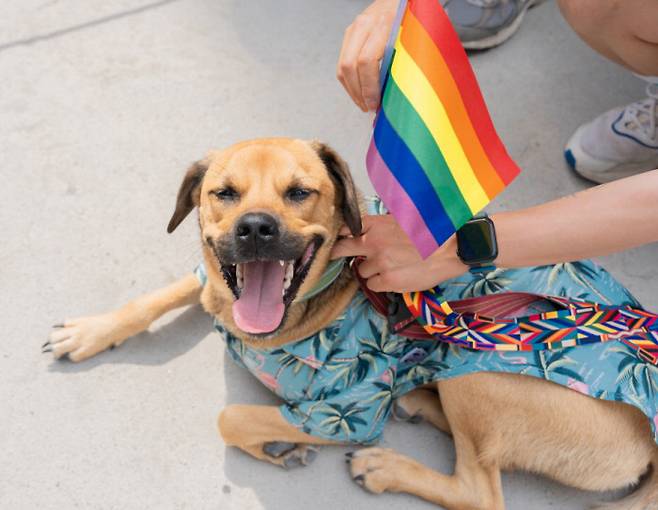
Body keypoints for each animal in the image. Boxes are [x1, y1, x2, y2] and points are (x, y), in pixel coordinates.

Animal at [44, 138, 656, 510]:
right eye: (223, 194)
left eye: (300, 192)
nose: (256, 228)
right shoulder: (210, 282)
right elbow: (157, 296)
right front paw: (92, 331)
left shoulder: (348, 412)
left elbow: (232, 417)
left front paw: (277, 445)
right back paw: (418, 403)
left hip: (479, 374)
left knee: (480, 491)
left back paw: (386, 467)